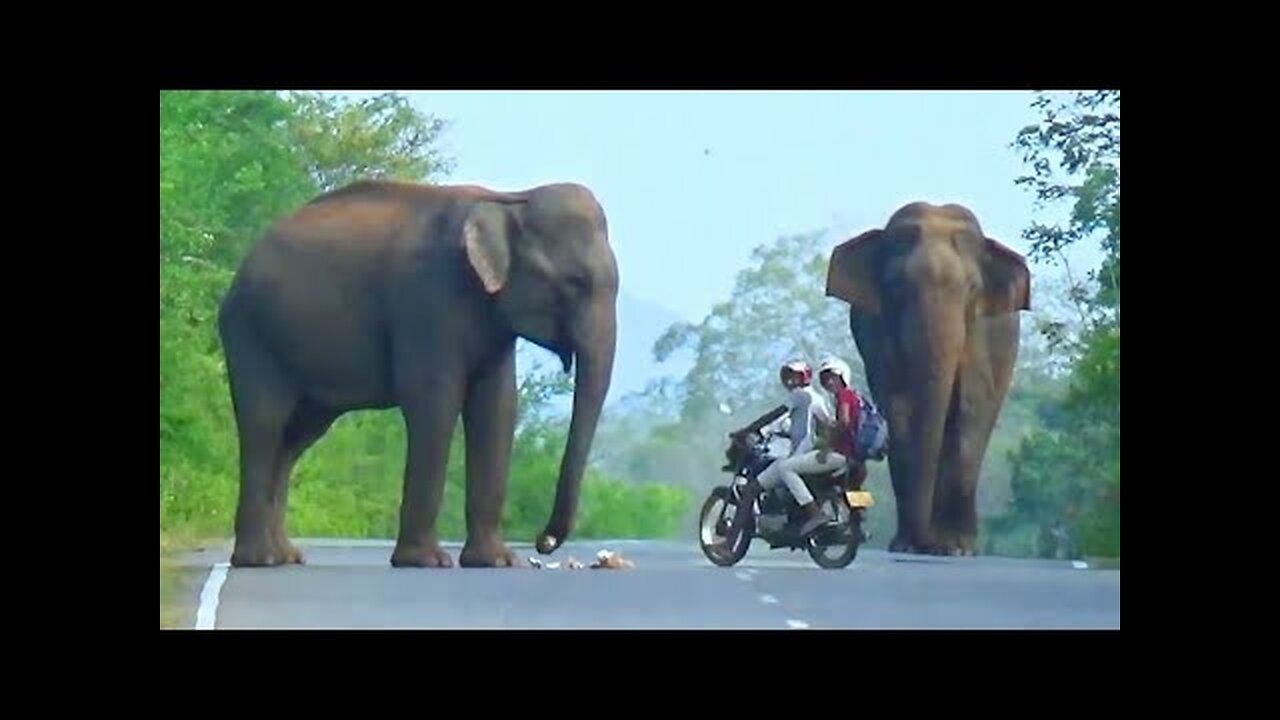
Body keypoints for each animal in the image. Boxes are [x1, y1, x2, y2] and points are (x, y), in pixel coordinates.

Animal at [216, 179, 618, 568]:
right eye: (575, 282)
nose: (543, 543)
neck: (511, 198)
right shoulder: (428, 296)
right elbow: (434, 403)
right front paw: (426, 562)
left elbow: (497, 410)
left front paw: (496, 562)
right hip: (252, 334)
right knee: (265, 424)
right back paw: (260, 560)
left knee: (294, 439)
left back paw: (285, 557)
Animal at [825, 202, 1030, 556]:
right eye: (895, 287)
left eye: (972, 290)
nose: (924, 543)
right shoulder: (876, 332)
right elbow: (898, 409)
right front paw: (906, 546)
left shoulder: (984, 336)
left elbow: (970, 411)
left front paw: (956, 549)